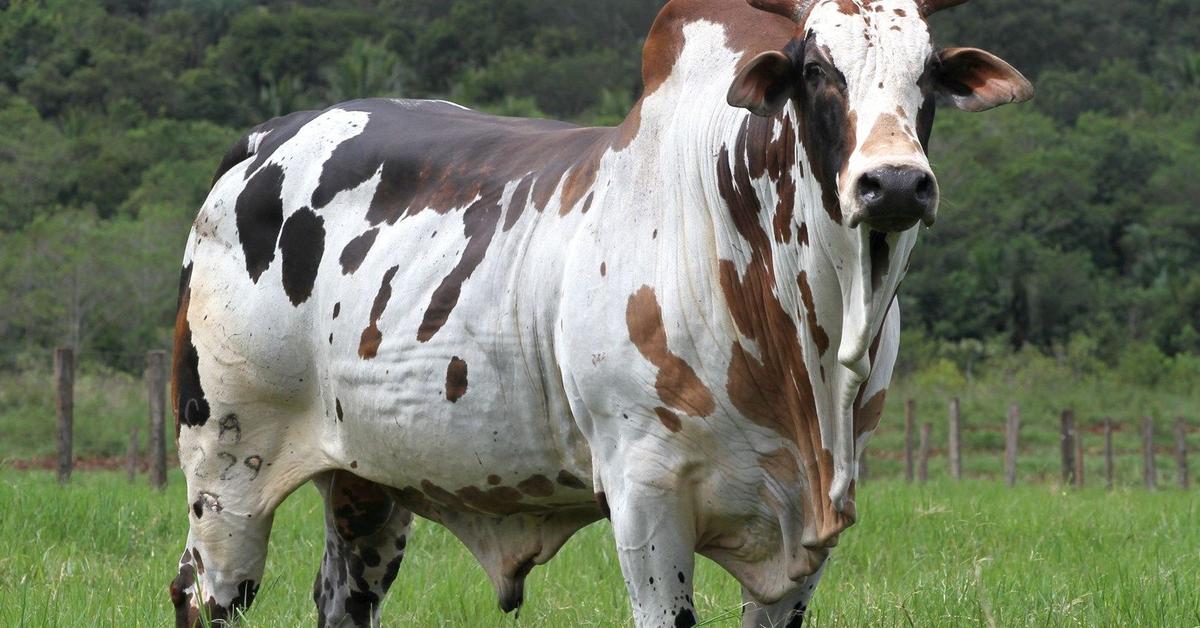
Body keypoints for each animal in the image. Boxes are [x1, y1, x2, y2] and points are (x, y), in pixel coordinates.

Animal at [169, 0, 1032, 624]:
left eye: (929, 74)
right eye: (819, 70)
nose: (895, 183)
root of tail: (260, 140)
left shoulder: (804, 540)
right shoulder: (646, 498)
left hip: (366, 488)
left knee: (341, 598)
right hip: (226, 471)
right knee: (202, 593)